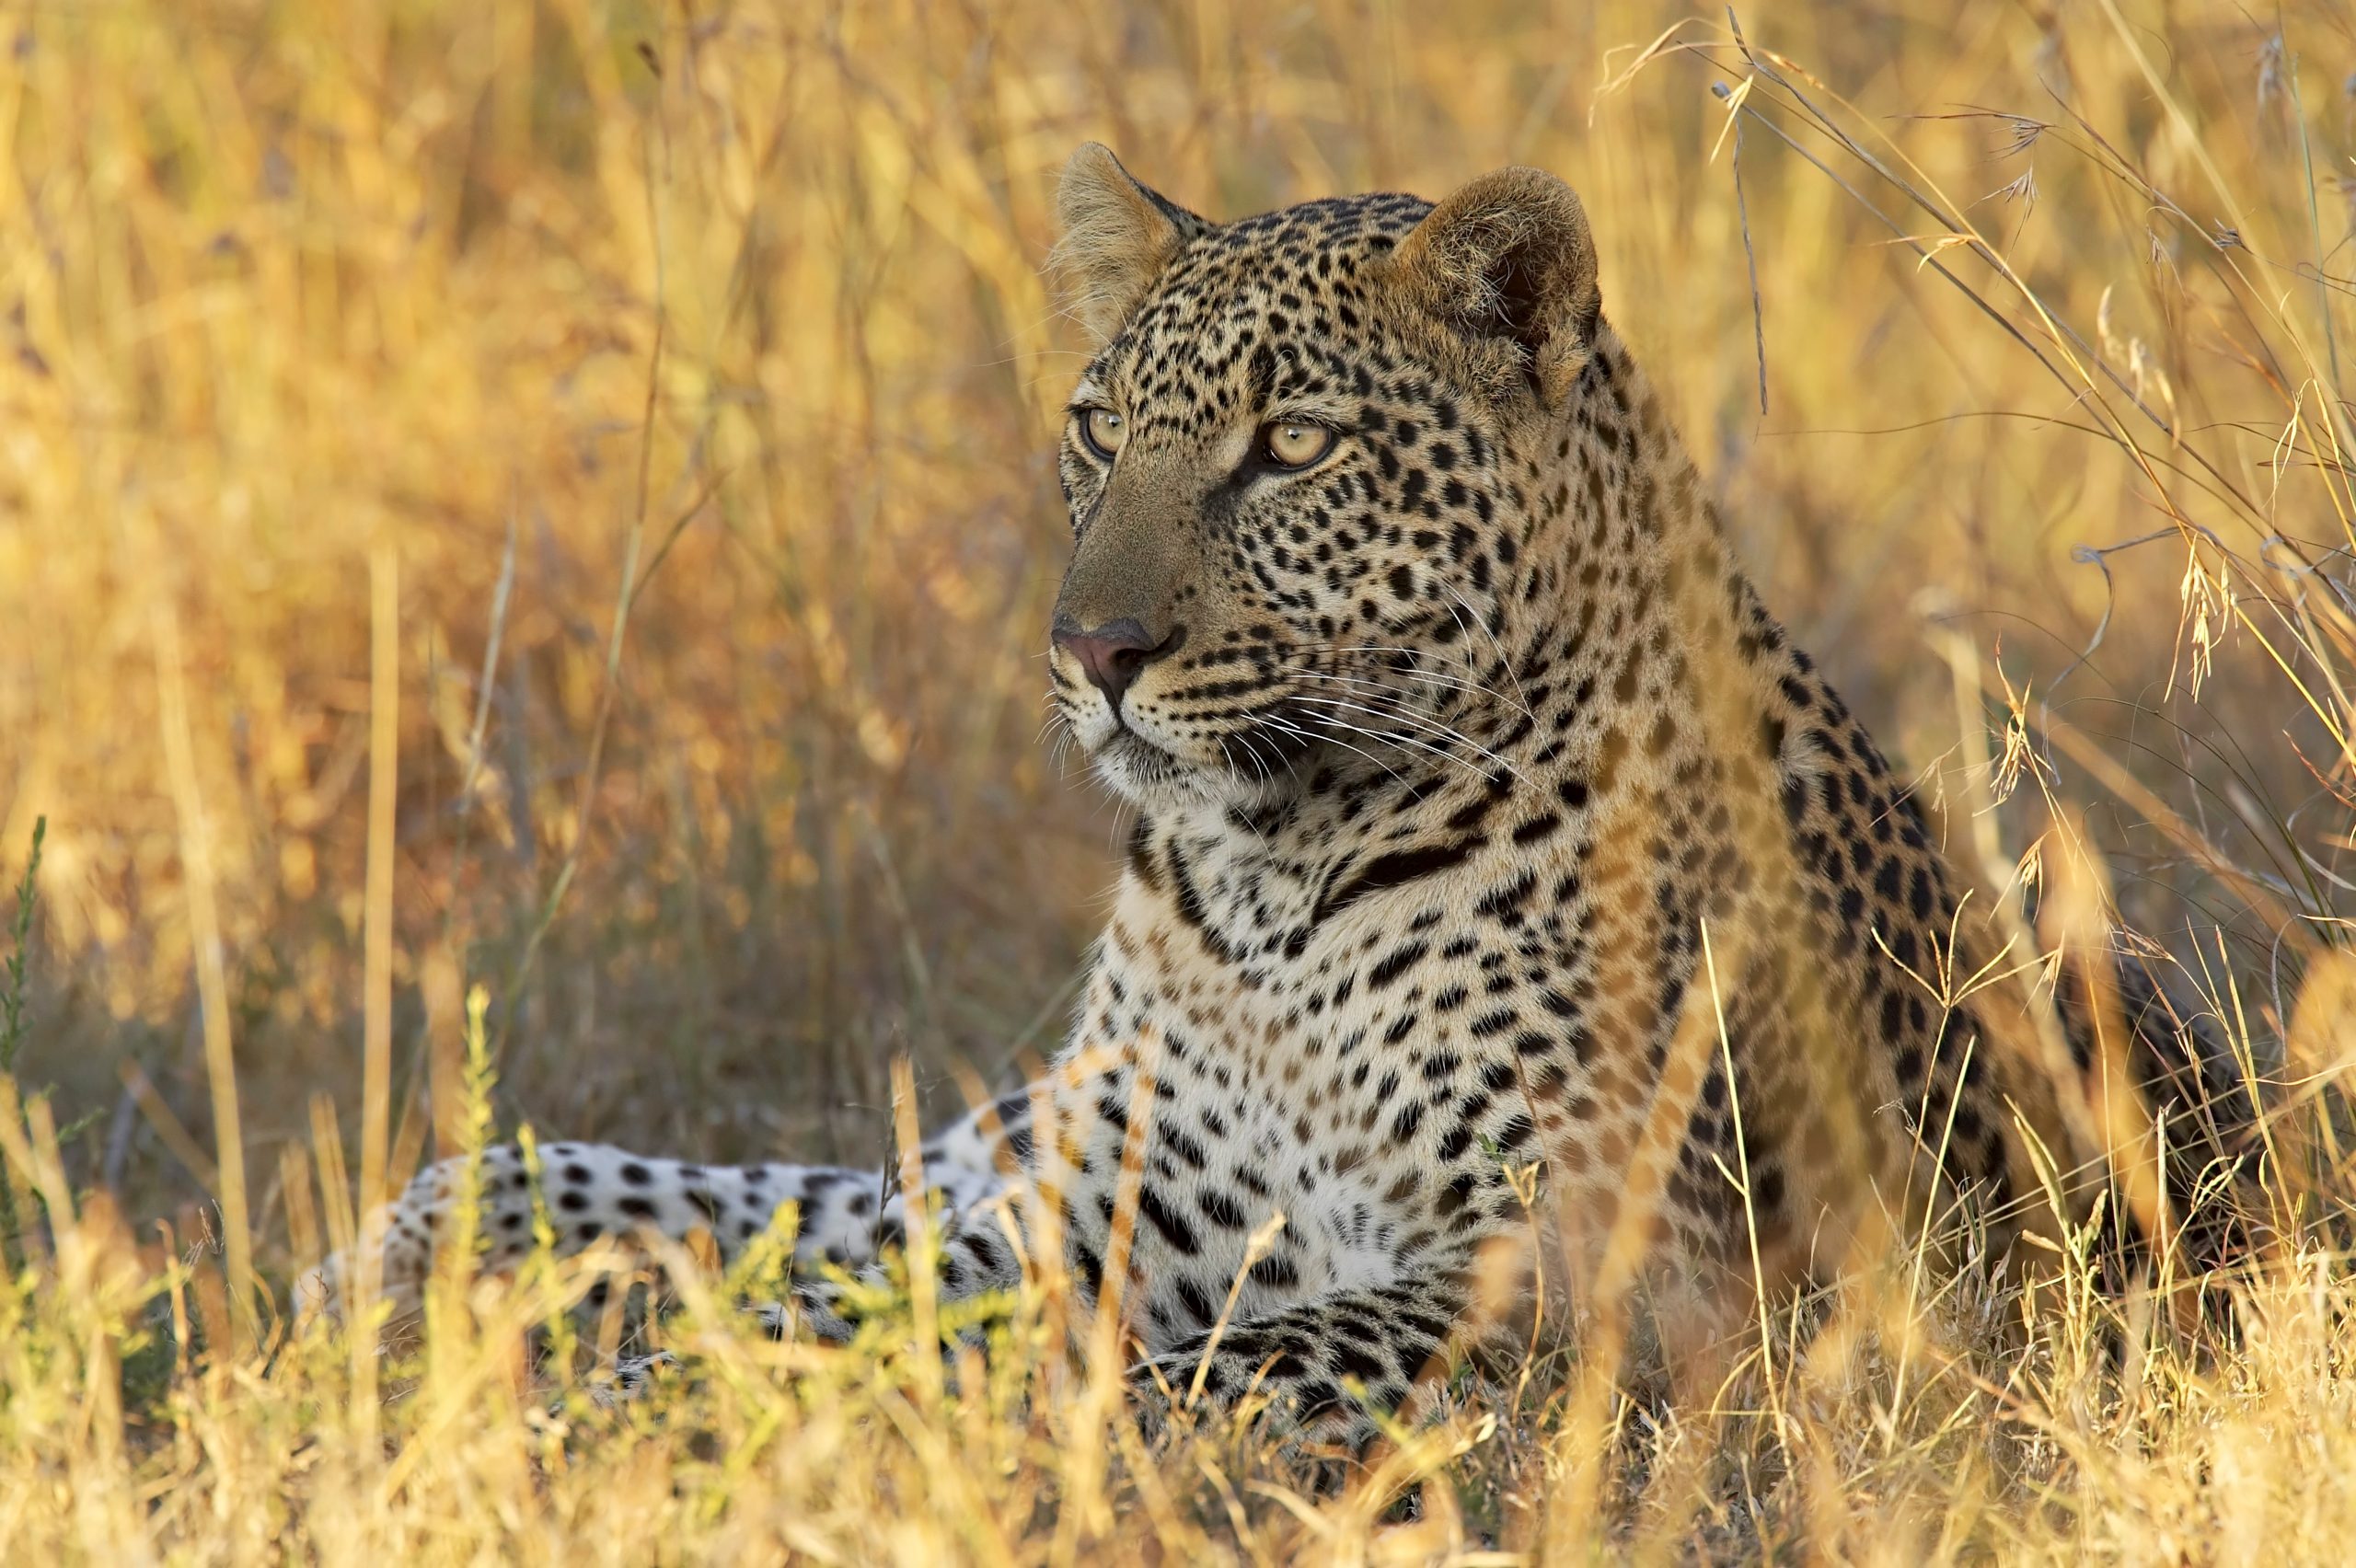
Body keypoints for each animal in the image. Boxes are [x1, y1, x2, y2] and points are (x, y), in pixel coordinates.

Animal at [313, 145, 2256, 1447]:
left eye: (1293, 447)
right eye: (1098, 426)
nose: (1091, 645)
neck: (1260, 884)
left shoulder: (1595, 1270)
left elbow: (1158, 1365)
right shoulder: (1082, 1188)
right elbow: (807, 1250)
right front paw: (466, 1349)